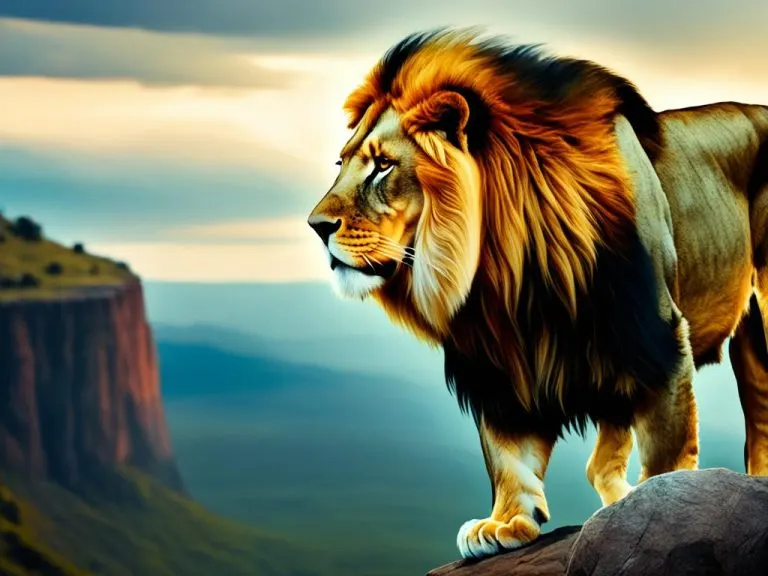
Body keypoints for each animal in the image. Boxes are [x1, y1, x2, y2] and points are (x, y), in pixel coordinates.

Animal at [307, 27, 768, 559]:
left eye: (383, 166)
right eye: (341, 163)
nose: (316, 226)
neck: (506, 271)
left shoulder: (657, 336)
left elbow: (666, 446)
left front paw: (661, 508)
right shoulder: (499, 361)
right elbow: (508, 452)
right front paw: (505, 522)